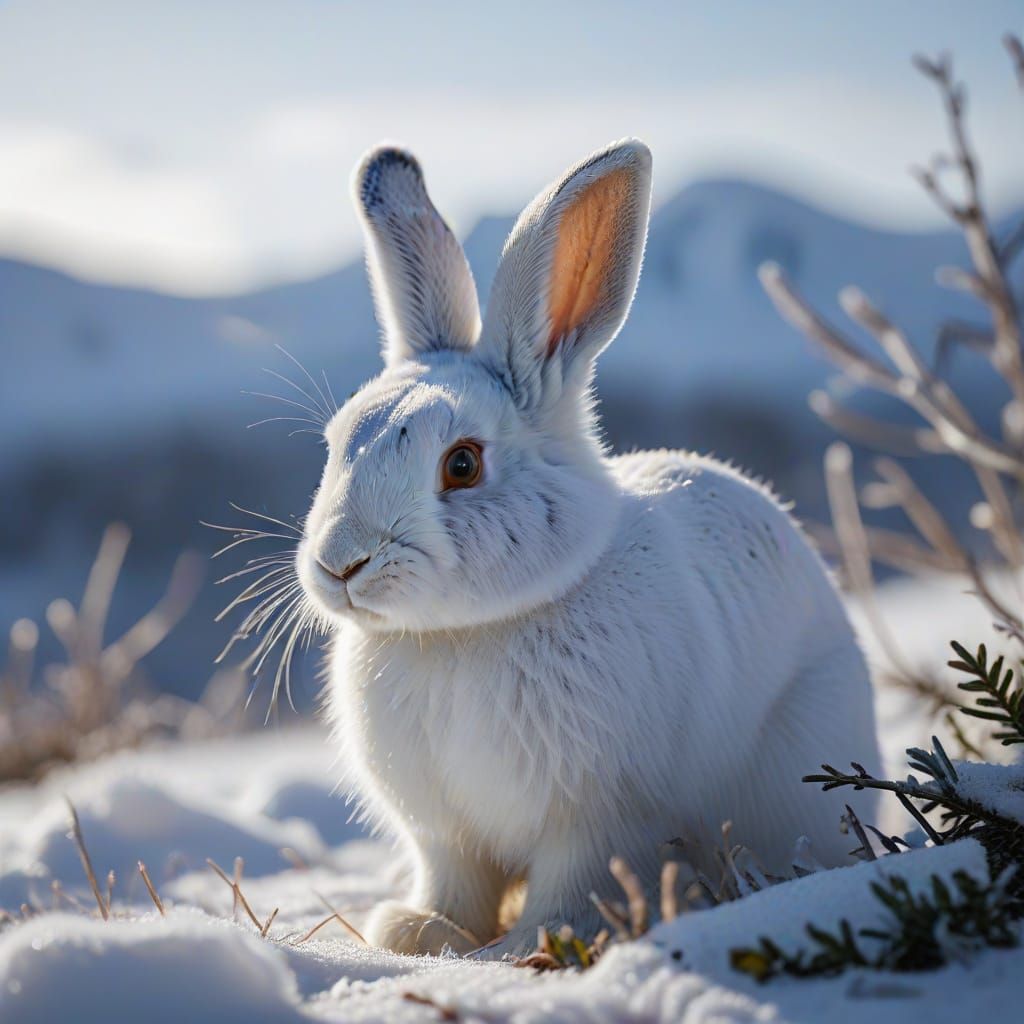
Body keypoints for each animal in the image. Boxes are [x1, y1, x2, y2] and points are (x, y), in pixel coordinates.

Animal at [294, 139, 881, 958]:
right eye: (336, 442)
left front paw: (528, 944)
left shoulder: (597, 818)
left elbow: (574, 881)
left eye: (462, 464)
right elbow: (455, 882)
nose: (340, 564)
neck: (463, 632)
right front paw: (418, 931)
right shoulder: (444, 834)